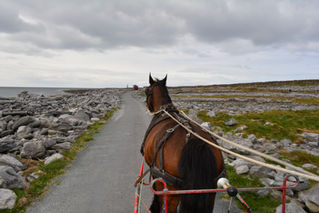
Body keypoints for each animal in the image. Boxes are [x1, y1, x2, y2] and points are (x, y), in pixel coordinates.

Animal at [142, 74, 225, 212]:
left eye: (147, 91)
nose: (147, 107)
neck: (165, 110)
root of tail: (194, 141)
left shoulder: (155, 174)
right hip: (210, 192)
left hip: (171, 192)